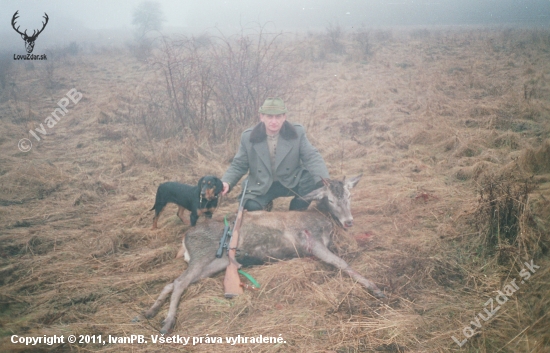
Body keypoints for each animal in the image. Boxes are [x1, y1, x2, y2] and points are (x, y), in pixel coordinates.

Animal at [137, 175, 388, 334]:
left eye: (349, 196)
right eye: (331, 199)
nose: (349, 221)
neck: (323, 221)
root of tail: (184, 240)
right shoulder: (312, 242)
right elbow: (342, 263)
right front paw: (375, 288)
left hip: (215, 263)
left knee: (173, 282)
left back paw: (149, 311)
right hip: (203, 255)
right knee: (179, 283)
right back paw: (166, 322)